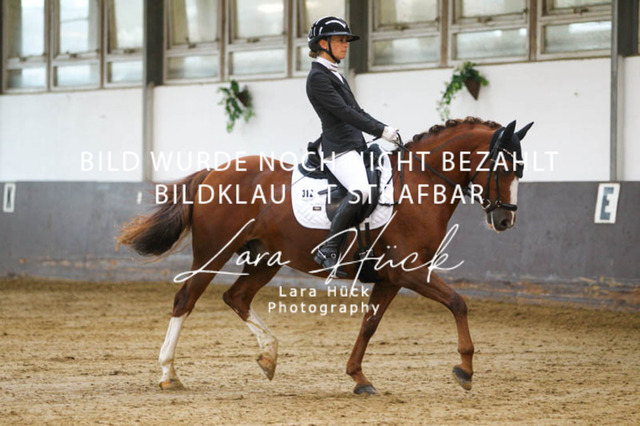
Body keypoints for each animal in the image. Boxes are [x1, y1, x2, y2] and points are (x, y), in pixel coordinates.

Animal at [118, 117, 533, 395]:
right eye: (503, 167)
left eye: (521, 170)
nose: (506, 220)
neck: (420, 184)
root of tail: (213, 173)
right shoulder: (410, 272)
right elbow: (458, 303)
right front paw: (465, 370)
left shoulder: (389, 278)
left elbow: (369, 325)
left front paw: (359, 378)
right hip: (214, 253)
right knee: (185, 299)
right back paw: (168, 374)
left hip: (266, 258)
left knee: (236, 297)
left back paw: (268, 356)